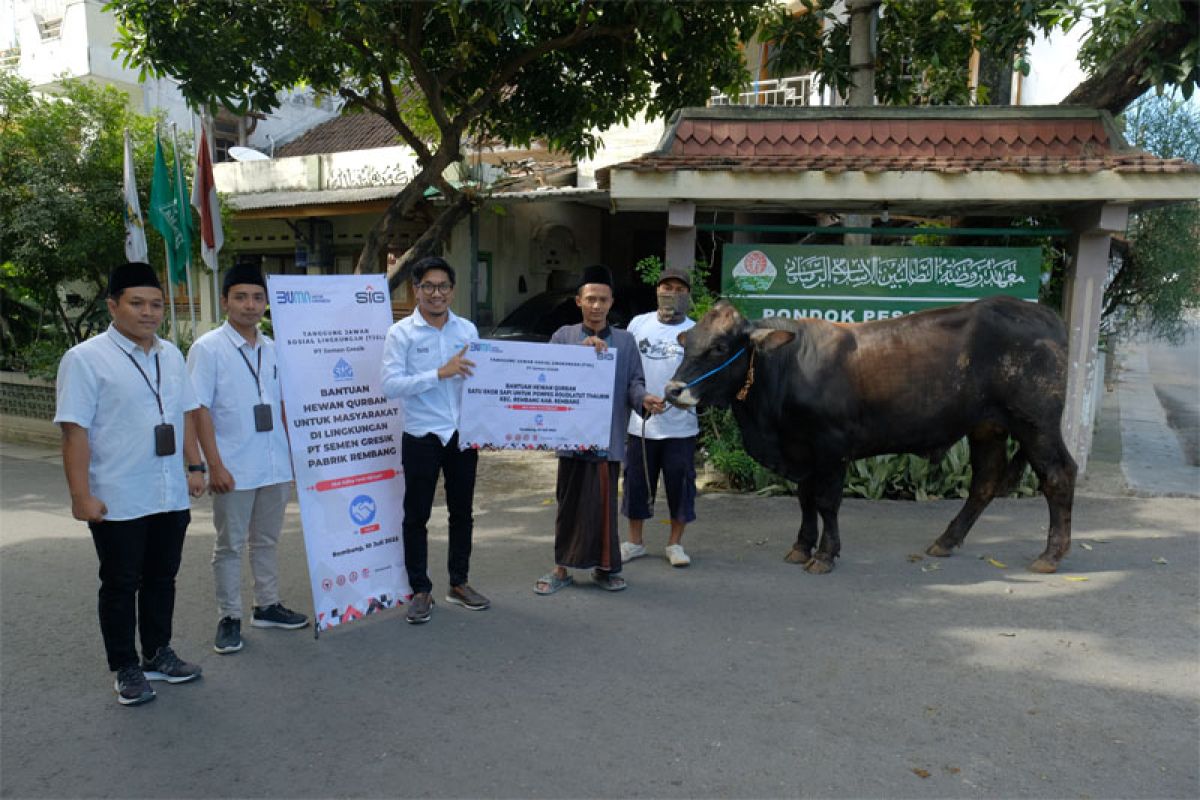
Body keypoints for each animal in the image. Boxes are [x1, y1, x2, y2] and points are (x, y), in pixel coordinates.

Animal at [667, 297, 1080, 573]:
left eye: (719, 347)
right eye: (685, 342)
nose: (672, 390)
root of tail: (1046, 315)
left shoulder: (831, 447)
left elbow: (827, 501)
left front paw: (825, 555)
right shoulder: (802, 451)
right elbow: (805, 499)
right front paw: (801, 547)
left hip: (1036, 424)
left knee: (1059, 475)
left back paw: (1051, 555)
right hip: (987, 427)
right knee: (986, 481)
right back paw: (945, 541)